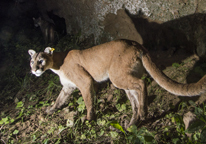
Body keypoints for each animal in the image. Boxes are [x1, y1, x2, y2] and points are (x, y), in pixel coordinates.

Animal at [27, 38, 206, 127]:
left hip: (116, 76)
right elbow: (59, 100)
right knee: (135, 97)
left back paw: (143, 112)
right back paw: (134, 121)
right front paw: (51, 110)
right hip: (125, 79)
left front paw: (89, 119)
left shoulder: (85, 81)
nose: (34, 70)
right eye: (31, 61)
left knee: (142, 84)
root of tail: (135, 43)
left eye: (41, 60)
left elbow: (88, 101)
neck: (56, 64)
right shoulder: (68, 87)